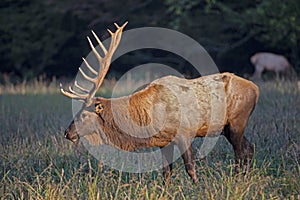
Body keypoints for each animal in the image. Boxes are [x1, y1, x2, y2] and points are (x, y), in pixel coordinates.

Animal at [59, 22, 258, 183]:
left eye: (83, 114)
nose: (67, 133)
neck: (146, 120)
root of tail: (256, 89)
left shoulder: (184, 132)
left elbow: (190, 168)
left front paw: (199, 187)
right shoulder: (164, 142)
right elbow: (166, 173)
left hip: (237, 121)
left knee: (240, 152)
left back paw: (239, 179)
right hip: (226, 127)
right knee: (249, 147)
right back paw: (245, 177)